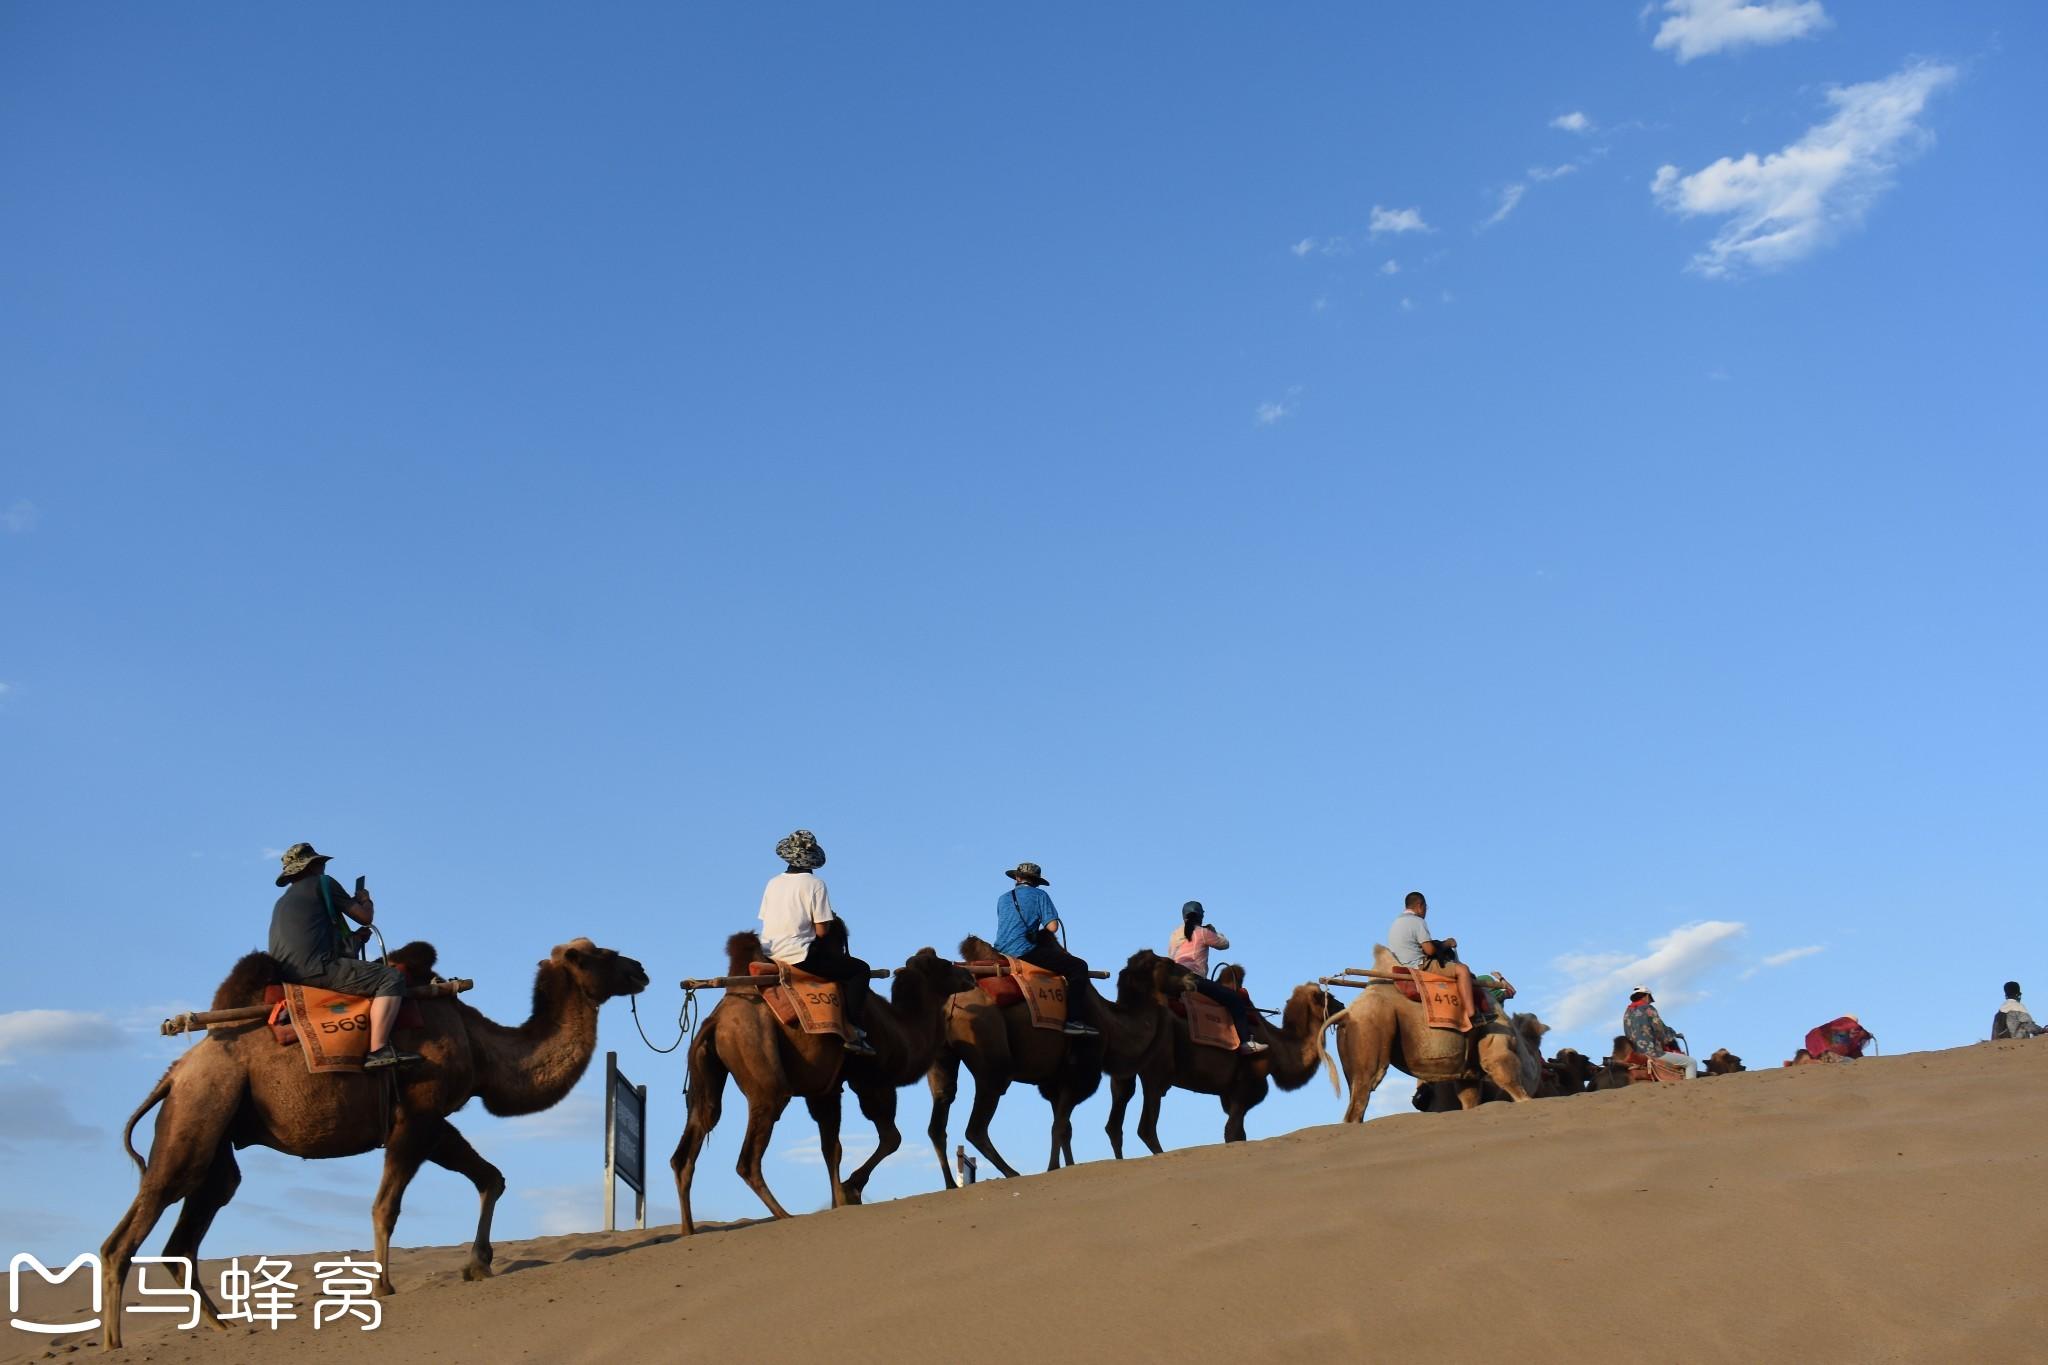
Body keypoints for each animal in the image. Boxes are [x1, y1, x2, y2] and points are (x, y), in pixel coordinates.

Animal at [99, 941, 647, 1342]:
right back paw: (114, 1344)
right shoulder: (418, 1116)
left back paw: (223, 1327)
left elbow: (491, 1178)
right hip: (199, 1111)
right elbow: (387, 1205)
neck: (481, 1045)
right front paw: (383, 1286)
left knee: (186, 1233)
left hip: (215, 1137)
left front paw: (477, 1265)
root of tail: (175, 1073)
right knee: (132, 1227)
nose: (640, 968)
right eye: (601, 954)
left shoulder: (434, 1121)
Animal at [663, 933, 966, 1236]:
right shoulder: (871, 1082)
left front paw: (838, 1202)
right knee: (747, 1160)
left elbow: (832, 1149)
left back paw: (688, 1231)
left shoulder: (826, 1090)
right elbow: (891, 1138)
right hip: (762, 1073)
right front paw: (850, 1189)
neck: (902, 1030)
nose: (968, 977)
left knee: (693, 1138)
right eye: (944, 964)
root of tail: (716, 1022)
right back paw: (785, 1215)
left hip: (709, 1074)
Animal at [925, 941, 1196, 1186]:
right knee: (976, 1126)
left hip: (941, 1056)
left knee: (940, 1115)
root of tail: (953, 999)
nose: (1194, 978)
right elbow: (1060, 1127)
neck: (1110, 1026)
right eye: (1169, 963)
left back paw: (950, 1184)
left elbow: (1065, 1128)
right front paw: (1053, 1168)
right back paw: (1012, 1173)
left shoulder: (1054, 1083)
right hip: (991, 1053)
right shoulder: (1078, 1076)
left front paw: (1069, 1166)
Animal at [1105, 978, 1343, 1146]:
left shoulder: (1227, 1094)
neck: (1276, 1048)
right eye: (1328, 996)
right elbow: (1232, 1133)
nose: (1342, 1005)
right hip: (1157, 1070)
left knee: (1115, 1121)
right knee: (1146, 1127)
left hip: (1124, 1069)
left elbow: (1239, 1134)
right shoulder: (1246, 1086)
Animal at [1327, 949, 1540, 1121]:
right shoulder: (1495, 1041)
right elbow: (1505, 1073)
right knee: (1366, 1085)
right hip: (1373, 1023)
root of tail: (1348, 1013)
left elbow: (1470, 1098)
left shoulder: (1468, 1072)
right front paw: (1526, 1101)